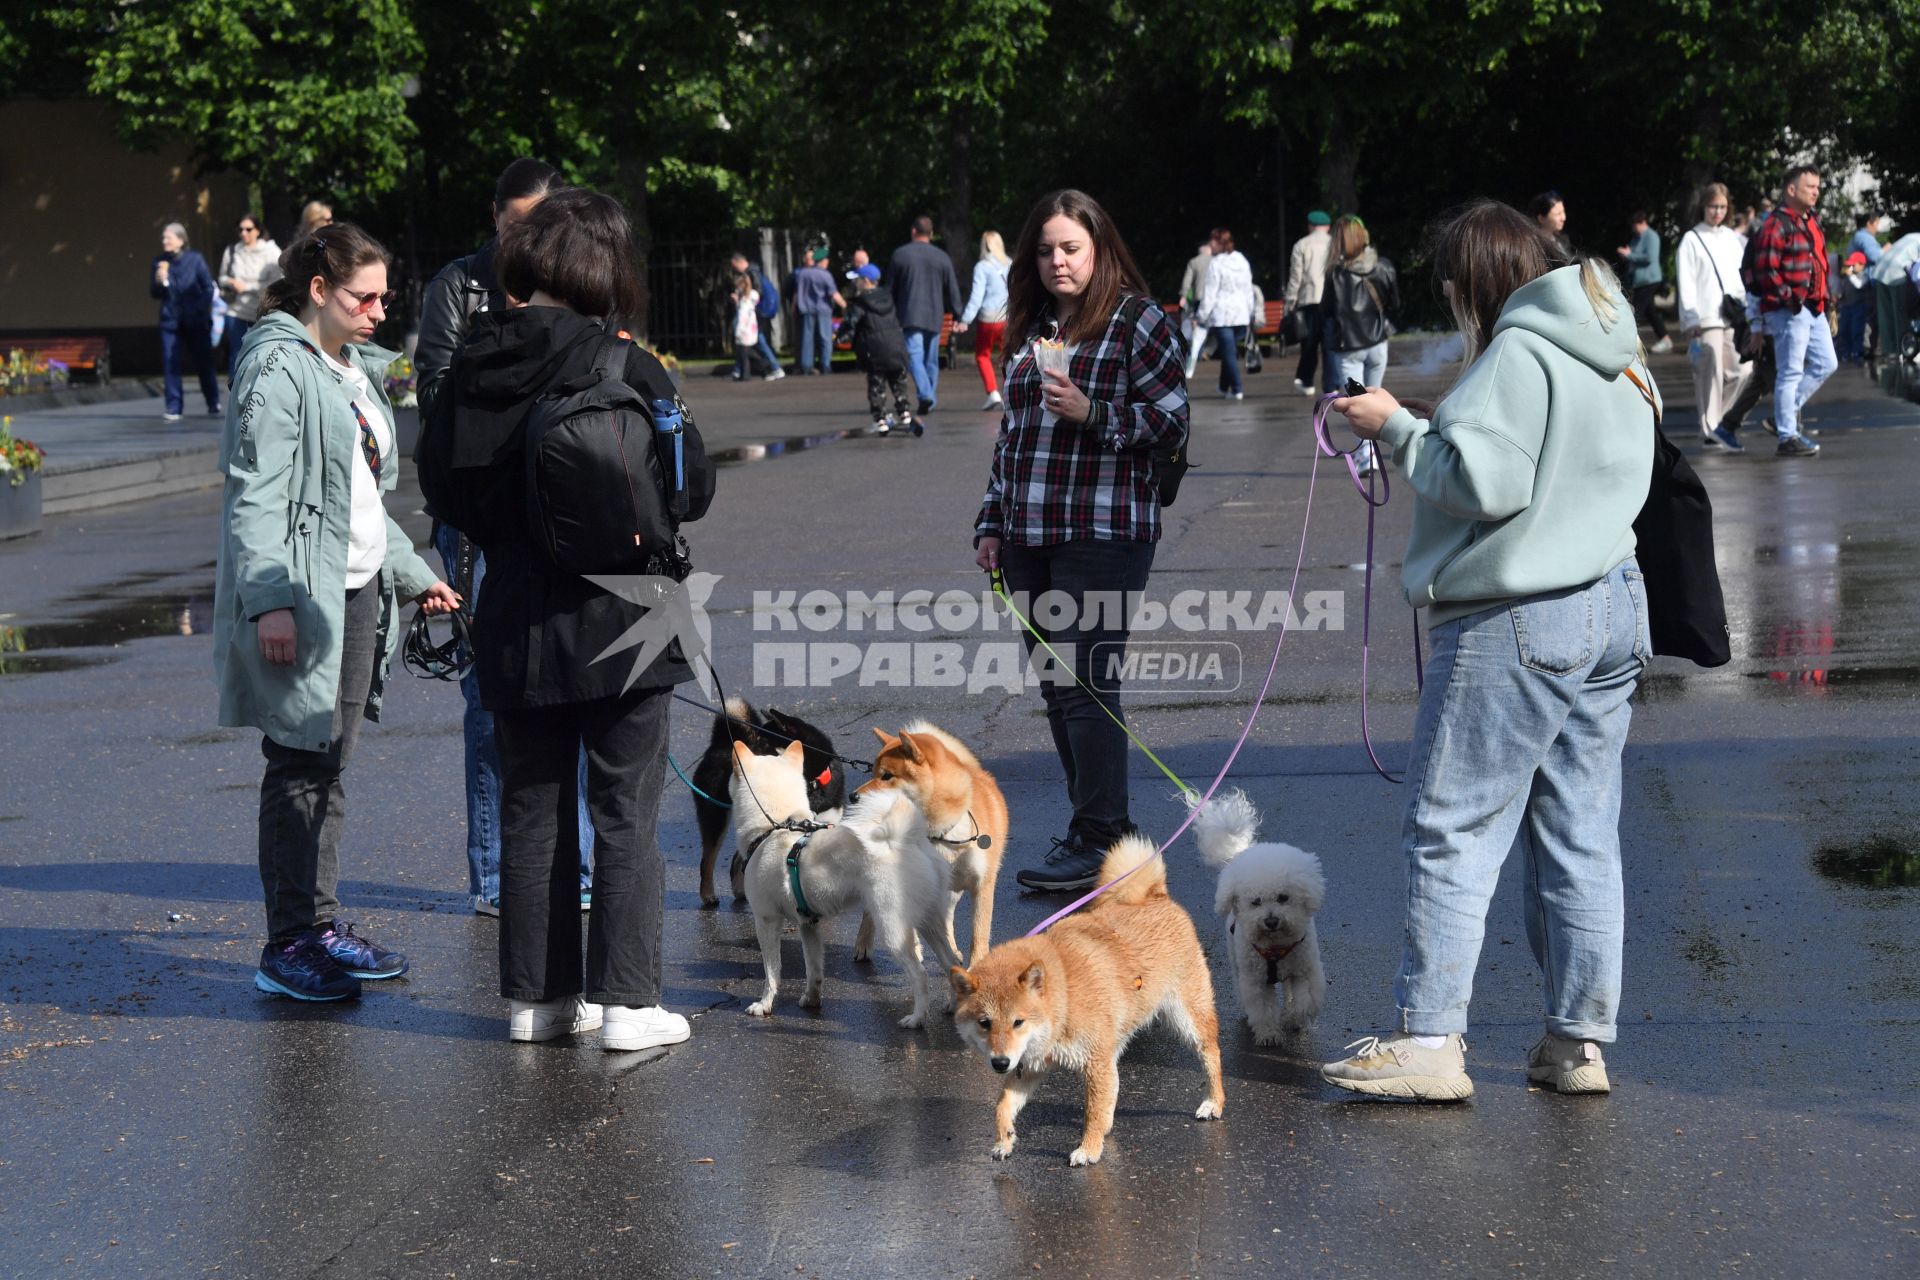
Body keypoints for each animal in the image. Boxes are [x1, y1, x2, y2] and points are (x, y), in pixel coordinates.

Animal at [1182, 786, 1320, 1043]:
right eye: (1255, 902)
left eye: (1283, 897)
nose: (1271, 921)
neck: (1276, 947)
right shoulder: (1255, 980)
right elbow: (1262, 1008)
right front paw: (1269, 1034)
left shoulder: (1304, 970)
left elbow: (1305, 1001)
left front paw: (1294, 1018)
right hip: (1237, 961)